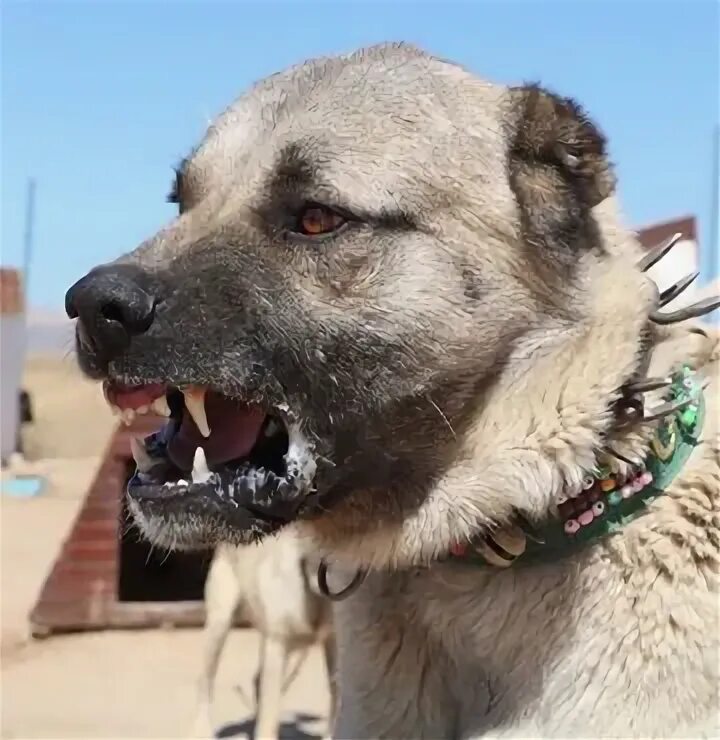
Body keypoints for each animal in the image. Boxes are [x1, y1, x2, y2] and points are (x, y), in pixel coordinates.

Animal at [193, 536, 336, 736]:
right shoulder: (276, 645)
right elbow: (270, 714)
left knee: (257, 680)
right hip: (220, 624)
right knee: (206, 681)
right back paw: (201, 730)